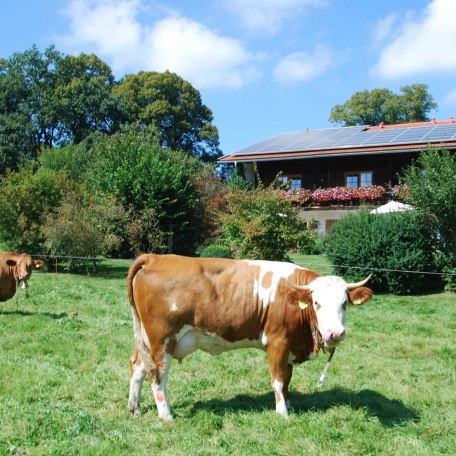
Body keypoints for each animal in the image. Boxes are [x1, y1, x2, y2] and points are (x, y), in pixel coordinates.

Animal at [125, 253, 374, 420]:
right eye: (316, 303)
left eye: (344, 303)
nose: (335, 333)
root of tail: (153, 257)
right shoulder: (277, 342)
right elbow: (279, 379)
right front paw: (282, 413)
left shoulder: (289, 346)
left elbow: (287, 380)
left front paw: (290, 405)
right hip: (162, 340)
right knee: (157, 375)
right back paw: (166, 415)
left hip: (146, 339)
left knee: (138, 365)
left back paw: (134, 408)